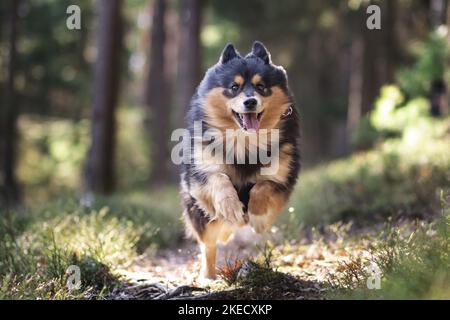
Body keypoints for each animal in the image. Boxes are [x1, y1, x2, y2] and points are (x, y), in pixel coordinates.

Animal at [178, 41, 298, 278]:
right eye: (234, 87)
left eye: (261, 87)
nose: (250, 101)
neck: (244, 143)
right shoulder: (200, 173)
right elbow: (219, 179)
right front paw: (231, 206)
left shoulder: (283, 176)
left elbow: (262, 187)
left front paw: (257, 217)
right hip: (199, 215)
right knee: (208, 244)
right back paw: (208, 276)